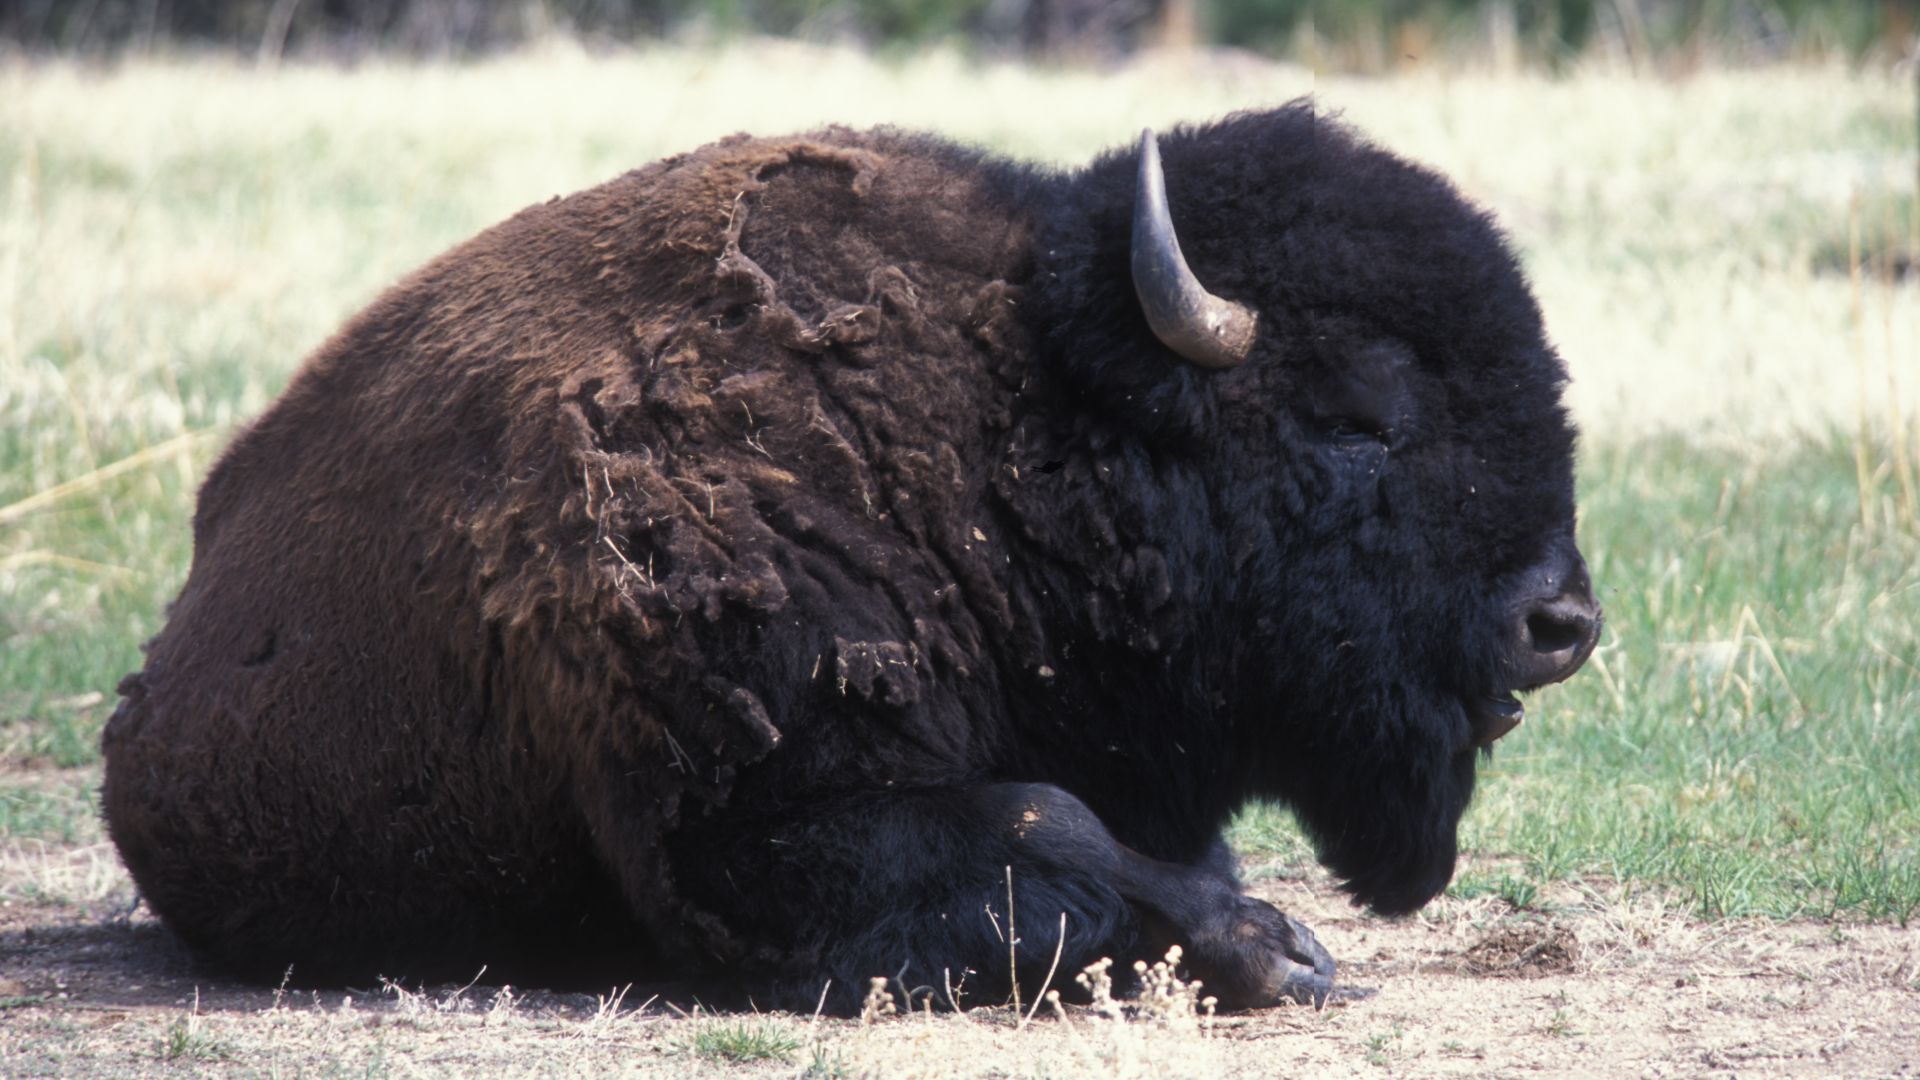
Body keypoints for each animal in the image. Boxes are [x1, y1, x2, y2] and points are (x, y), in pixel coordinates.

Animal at [103, 103, 1601, 1013]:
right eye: (1357, 415)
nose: (1561, 621)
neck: (1005, 432)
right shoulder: (754, 836)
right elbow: (1048, 824)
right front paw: (1282, 952)